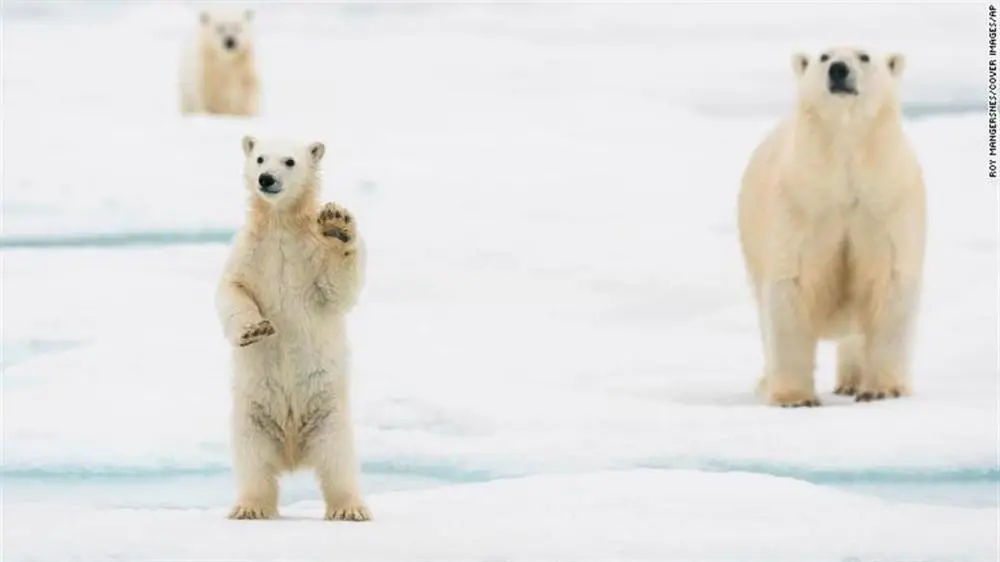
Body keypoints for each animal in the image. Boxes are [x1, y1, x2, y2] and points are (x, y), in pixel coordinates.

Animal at [215, 133, 372, 520]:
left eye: (289, 161)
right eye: (259, 158)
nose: (266, 179)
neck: (281, 226)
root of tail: (292, 452)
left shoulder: (310, 255)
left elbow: (338, 289)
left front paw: (338, 224)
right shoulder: (250, 252)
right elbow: (232, 289)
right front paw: (254, 330)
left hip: (330, 415)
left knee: (338, 461)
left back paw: (350, 509)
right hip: (251, 416)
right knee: (253, 462)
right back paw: (249, 507)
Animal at [740, 47, 924, 406]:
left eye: (864, 56)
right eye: (824, 56)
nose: (838, 70)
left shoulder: (887, 201)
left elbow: (889, 283)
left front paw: (882, 390)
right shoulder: (800, 203)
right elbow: (791, 285)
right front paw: (795, 398)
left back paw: (851, 382)